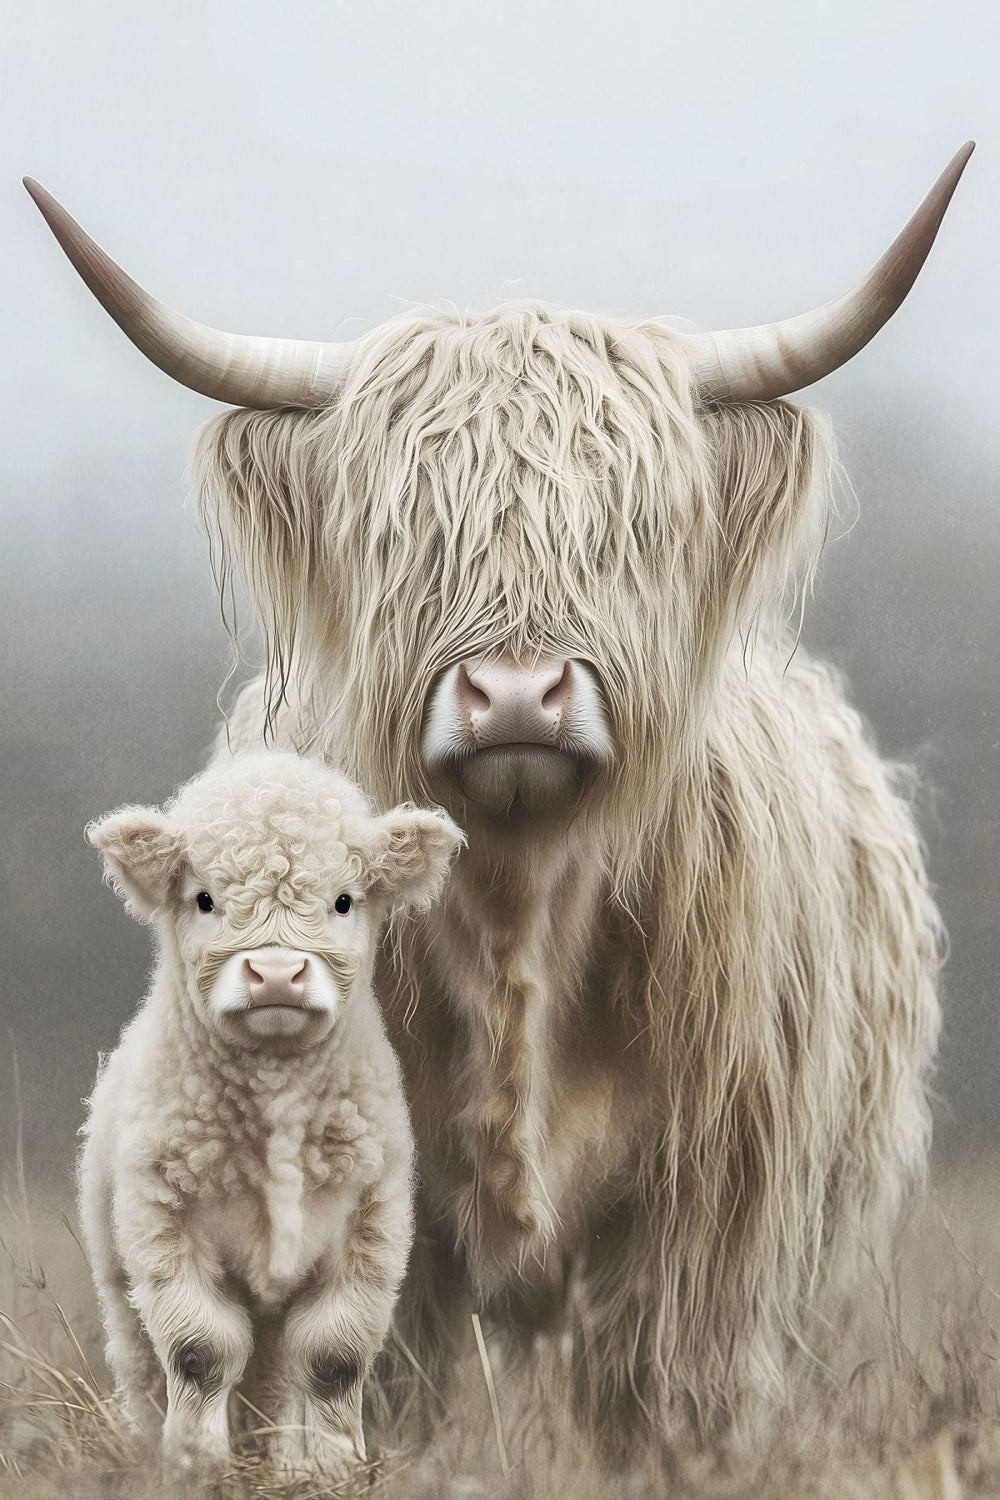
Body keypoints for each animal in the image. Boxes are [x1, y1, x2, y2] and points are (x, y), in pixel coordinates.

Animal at [26, 142, 972, 1461]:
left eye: (631, 529)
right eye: (405, 530)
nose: (517, 695)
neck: (524, 915)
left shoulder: (703, 1237)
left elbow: (652, 1412)